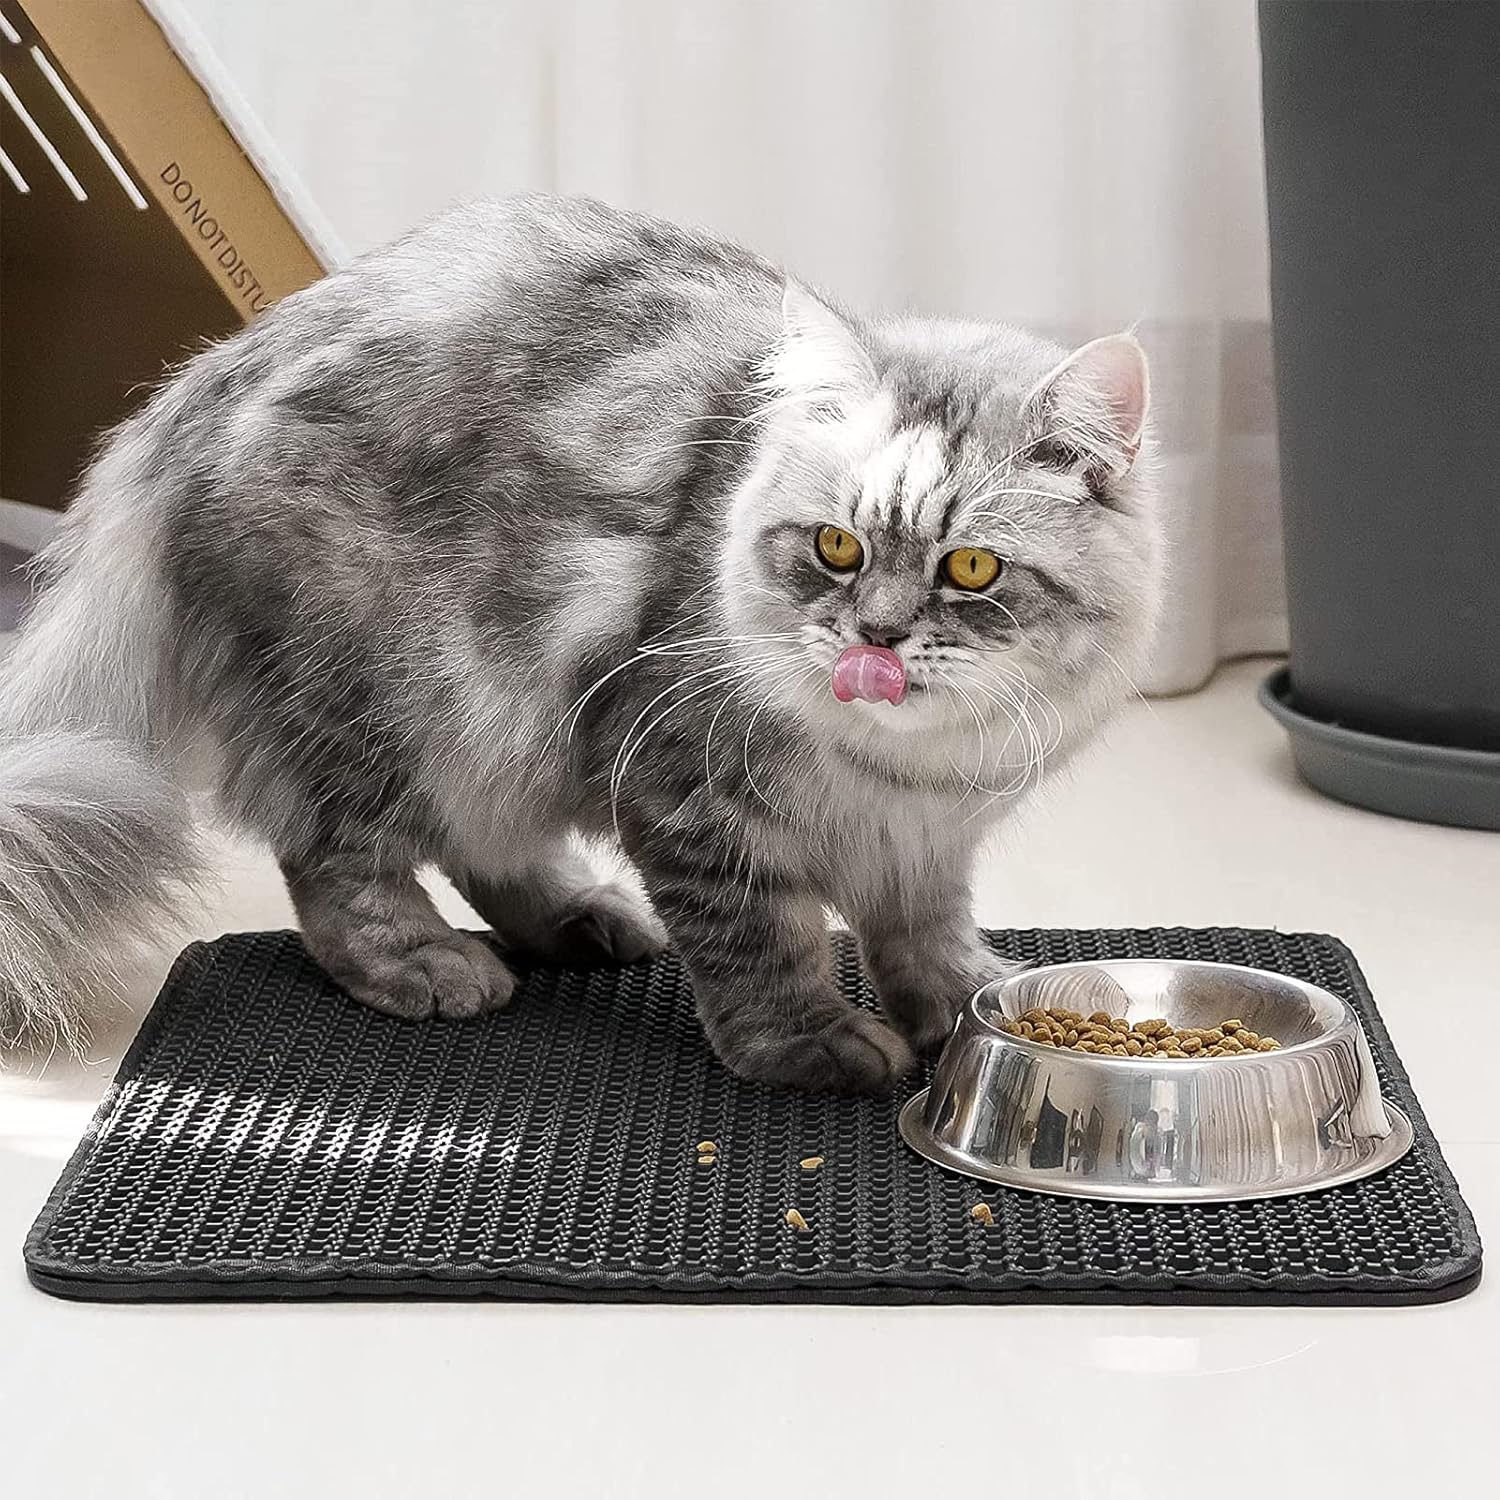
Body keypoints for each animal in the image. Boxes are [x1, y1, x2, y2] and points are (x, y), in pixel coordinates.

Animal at [0, 196, 1158, 1092]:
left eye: (971, 570)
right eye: (838, 547)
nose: (873, 633)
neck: (908, 769)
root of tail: (210, 371)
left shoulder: (927, 845)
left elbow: (927, 939)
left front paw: (973, 1004)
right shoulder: (685, 785)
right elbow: (761, 943)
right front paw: (811, 1045)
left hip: (484, 732)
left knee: (485, 850)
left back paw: (579, 919)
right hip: (380, 703)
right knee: (340, 865)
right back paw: (429, 965)